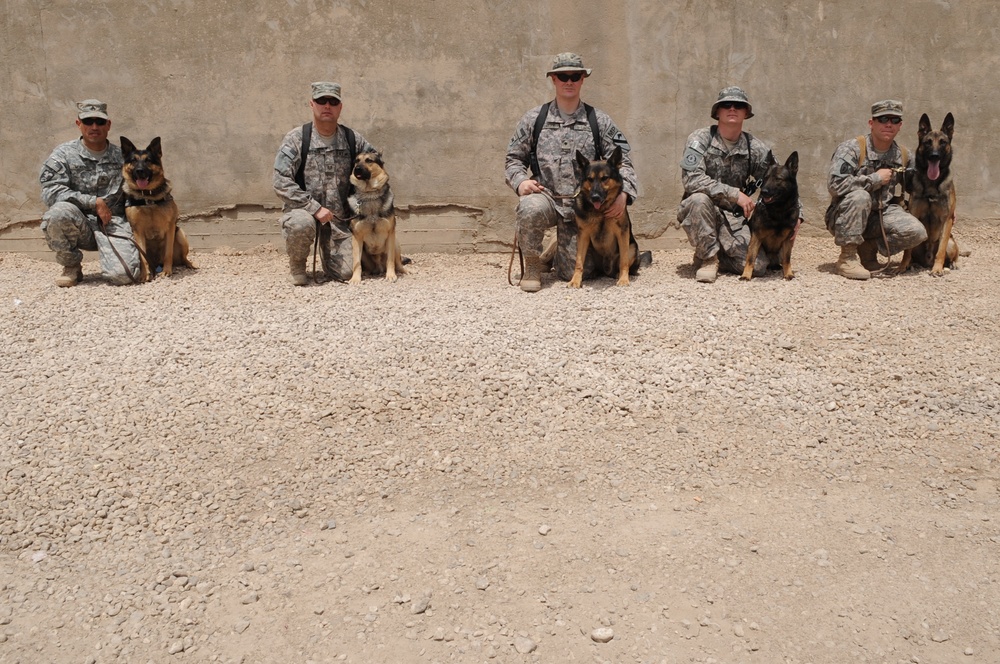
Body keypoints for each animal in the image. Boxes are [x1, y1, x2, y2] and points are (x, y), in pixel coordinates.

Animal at [121, 136, 195, 282]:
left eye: (148, 160)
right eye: (133, 160)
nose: (139, 171)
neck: (148, 197)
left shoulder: (170, 228)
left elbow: (168, 253)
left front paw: (167, 271)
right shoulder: (137, 231)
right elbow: (142, 257)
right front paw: (144, 275)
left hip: (180, 234)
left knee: (183, 257)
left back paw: (189, 264)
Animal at [346, 152, 404, 284]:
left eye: (369, 160)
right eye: (356, 161)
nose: (357, 169)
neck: (369, 195)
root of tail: (379, 267)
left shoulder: (390, 234)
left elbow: (390, 260)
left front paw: (391, 275)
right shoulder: (356, 237)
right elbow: (356, 263)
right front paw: (355, 278)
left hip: (396, 244)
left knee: (399, 263)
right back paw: (367, 273)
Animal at [568, 147, 636, 286]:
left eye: (605, 178)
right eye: (589, 179)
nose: (595, 197)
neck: (601, 212)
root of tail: (606, 270)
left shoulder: (623, 233)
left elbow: (624, 260)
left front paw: (624, 279)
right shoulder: (583, 235)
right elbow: (579, 262)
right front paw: (575, 280)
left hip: (632, 247)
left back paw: (618, 274)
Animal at [740, 151, 800, 280]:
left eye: (778, 179)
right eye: (766, 178)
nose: (764, 192)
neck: (778, 209)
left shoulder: (788, 240)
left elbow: (787, 259)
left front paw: (788, 273)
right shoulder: (756, 237)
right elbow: (751, 258)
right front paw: (746, 275)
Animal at [908, 113, 960, 274]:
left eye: (943, 142)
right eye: (928, 142)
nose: (934, 156)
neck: (932, 183)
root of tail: (927, 260)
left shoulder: (947, 219)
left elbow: (941, 250)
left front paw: (937, 269)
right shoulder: (914, 215)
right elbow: (906, 252)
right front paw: (901, 266)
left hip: (951, 242)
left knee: (953, 253)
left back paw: (952, 264)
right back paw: (912, 264)